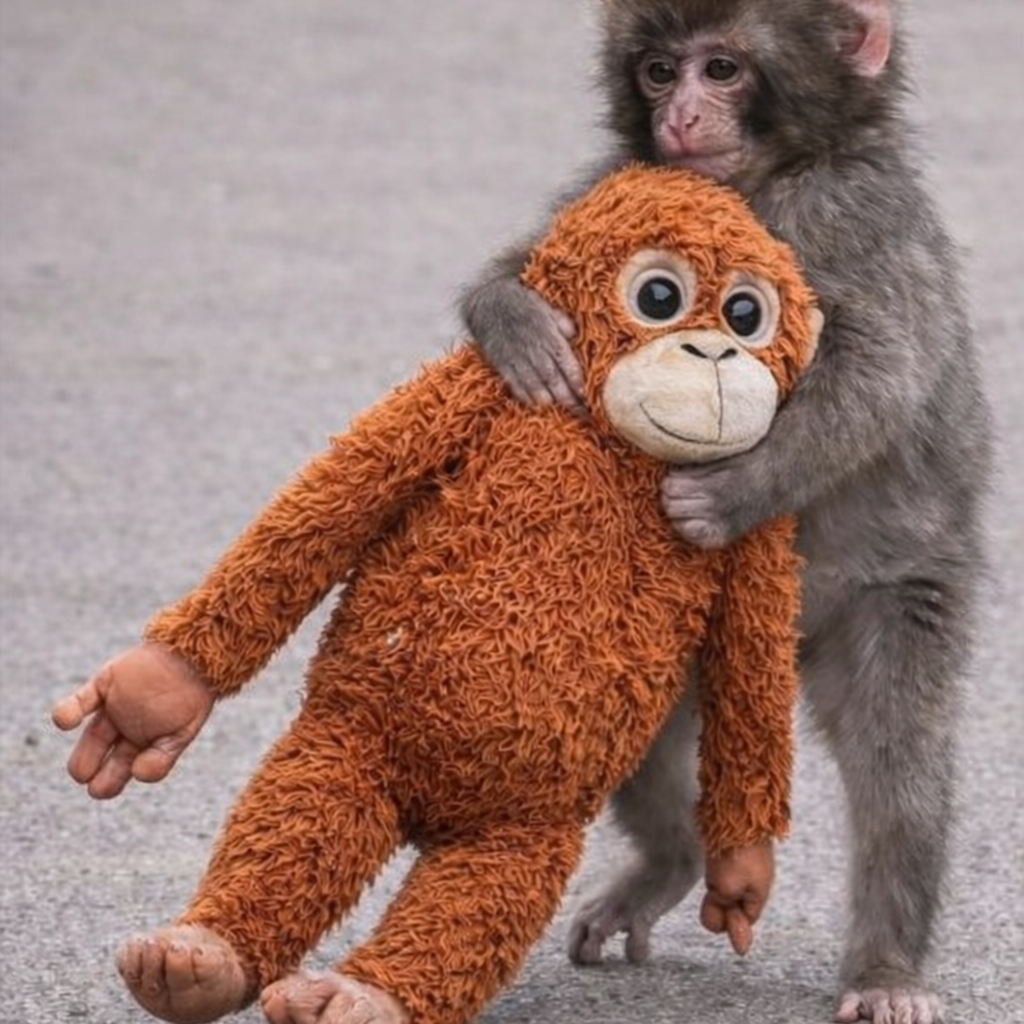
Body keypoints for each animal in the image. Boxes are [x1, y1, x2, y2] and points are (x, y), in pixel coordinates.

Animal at [459, 2, 993, 1022]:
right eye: (659, 71)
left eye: (723, 68)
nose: (679, 119)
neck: (766, 177)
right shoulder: (625, 187)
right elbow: (528, 265)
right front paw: (512, 317)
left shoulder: (852, 213)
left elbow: (879, 373)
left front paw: (730, 493)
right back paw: (676, 859)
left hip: (883, 599)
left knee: (898, 760)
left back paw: (886, 967)